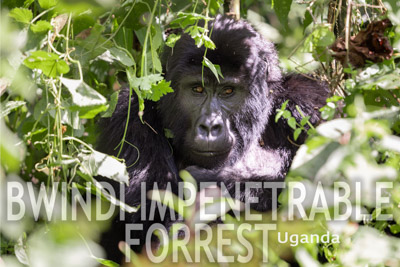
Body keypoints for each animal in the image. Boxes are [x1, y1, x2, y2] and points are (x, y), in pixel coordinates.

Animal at [99, 15, 328, 262]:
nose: (210, 126)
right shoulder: (129, 115)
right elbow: (153, 221)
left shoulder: (309, 102)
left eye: (228, 91)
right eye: (197, 89)